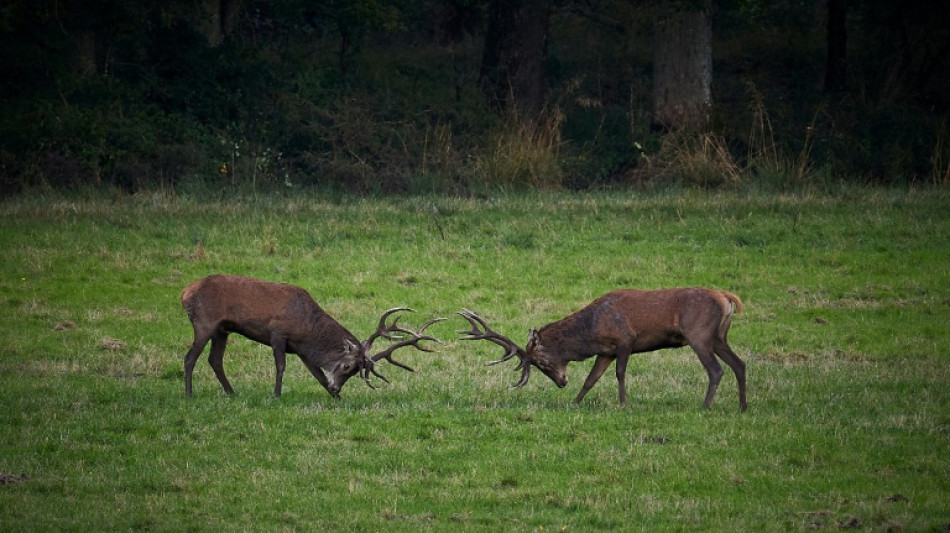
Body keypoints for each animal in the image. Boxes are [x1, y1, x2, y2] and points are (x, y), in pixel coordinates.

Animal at [181, 274, 444, 398]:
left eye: (355, 372)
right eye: (347, 365)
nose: (337, 388)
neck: (306, 328)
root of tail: (184, 293)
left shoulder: (301, 350)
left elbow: (317, 373)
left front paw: (337, 399)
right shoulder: (278, 333)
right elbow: (281, 366)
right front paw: (276, 395)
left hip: (222, 330)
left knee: (214, 360)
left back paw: (231, 393)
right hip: (204, 322)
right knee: (190, 357)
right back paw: (189, 394)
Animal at [458, 288, 747, 410]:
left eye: (541, 363)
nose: (561, 382)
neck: (592, 330)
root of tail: (728, 298)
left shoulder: (625, 340)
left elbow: (620, 373)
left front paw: (624, 404)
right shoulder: (605, 351)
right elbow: (591, 378)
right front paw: (574, 403)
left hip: (699, 335)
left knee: (716, 370)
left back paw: (705, 406)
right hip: (718, 337)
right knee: (739, 363)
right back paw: (743, 406)